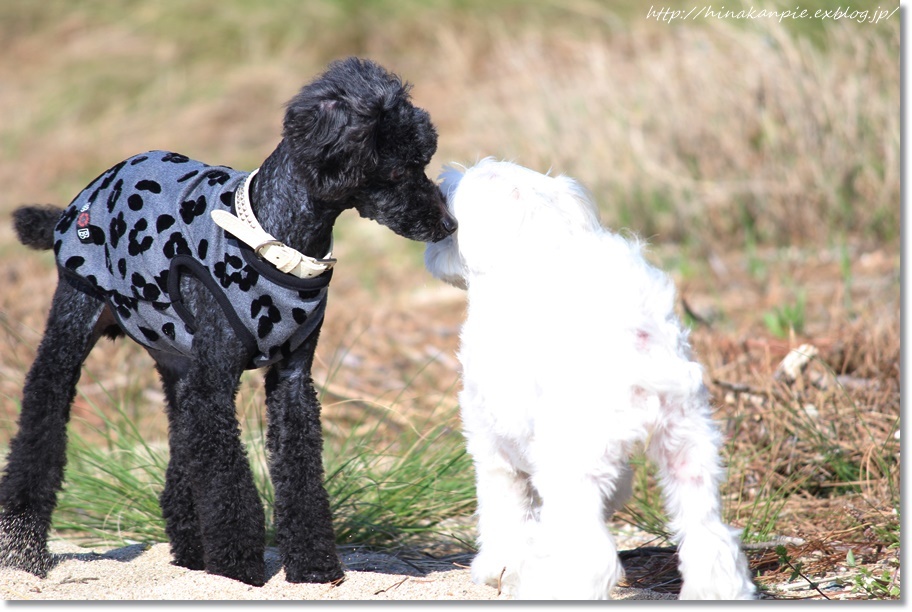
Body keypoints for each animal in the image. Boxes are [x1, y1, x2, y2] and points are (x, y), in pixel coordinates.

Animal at [426, 158, 756, 596]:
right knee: (710, 538)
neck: (535, 239)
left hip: (572, 458)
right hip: (688, 446)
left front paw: (499, 568)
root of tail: (636, 347)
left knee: (590, 556)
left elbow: (506, 511)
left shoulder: (492, 444)